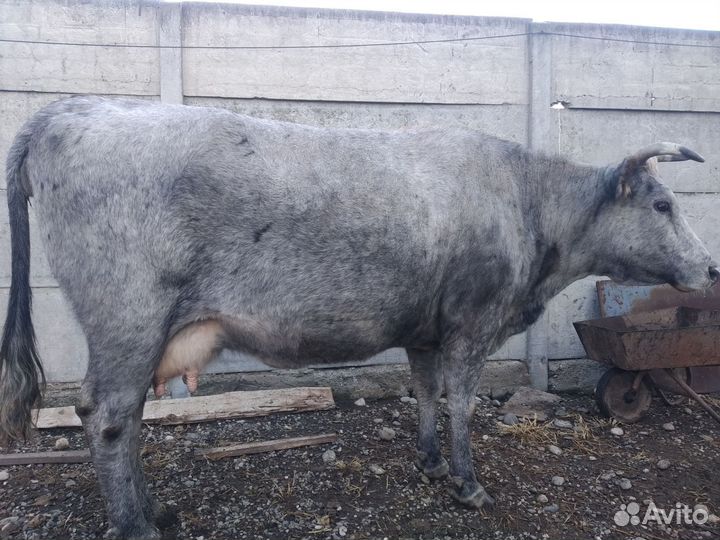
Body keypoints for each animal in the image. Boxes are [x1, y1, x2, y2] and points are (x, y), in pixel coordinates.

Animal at [0, 96, 716, 539]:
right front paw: (469, 485)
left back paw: (156, 509)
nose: (710, 268)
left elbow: (425, 393)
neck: (528, 203)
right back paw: (138, 523)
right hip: (128, 318)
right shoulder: (472, 324)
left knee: (124, 419)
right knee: (109, 416)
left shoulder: (427, 331)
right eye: (660, 205)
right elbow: (461, 402)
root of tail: (66, 110)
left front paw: (431, 464)